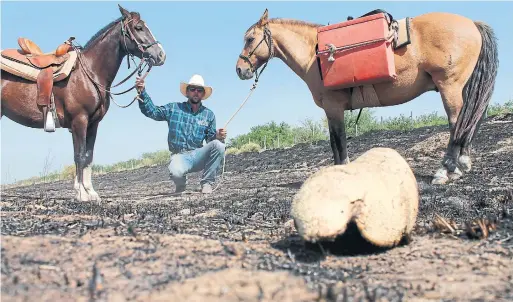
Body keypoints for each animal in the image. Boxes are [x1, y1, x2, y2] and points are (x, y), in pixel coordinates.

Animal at [1, 4, 165, 201]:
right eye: (139, 27)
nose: (161, 55)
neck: (90, 73)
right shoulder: (80, 120)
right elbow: (79, 156)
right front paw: (81, 194)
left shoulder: (92, 124)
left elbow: (88, 155)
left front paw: (91, 192)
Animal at [235, 8, 496, 184]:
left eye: (250, 39)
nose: (240, 69)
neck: (315, 55)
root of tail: (473, 24)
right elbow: (336, 141)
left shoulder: (333, 107)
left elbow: (338, 141)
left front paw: (342, 170)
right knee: (469, 122)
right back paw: (462, 163)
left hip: (449, 86)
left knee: (457, 123)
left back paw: (446, 169)